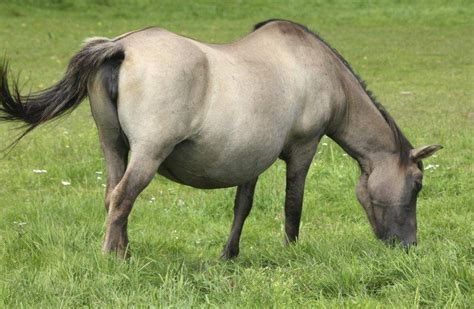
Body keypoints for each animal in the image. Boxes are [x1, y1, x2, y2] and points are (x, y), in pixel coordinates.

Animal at [1, 19, 442, 258]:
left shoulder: (252, 157)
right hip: (147, 153)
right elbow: (293, 205)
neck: (319, 71)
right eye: (418, 184)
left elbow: (241, 207)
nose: (409, 245)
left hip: (113, 146)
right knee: (124, 197)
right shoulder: (304, 147)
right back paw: (113, 257)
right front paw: (291, 251)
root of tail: (120, 47)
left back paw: (124, 251)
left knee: (112, 197)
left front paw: (229, 255)